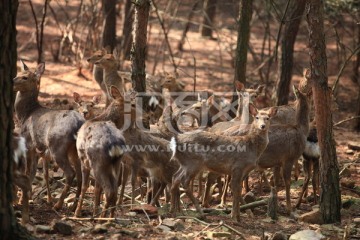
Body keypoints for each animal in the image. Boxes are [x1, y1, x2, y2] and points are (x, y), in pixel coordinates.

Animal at [13, 60, 84, 212]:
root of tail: (78, 124)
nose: (12, 81)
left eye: (25, 77)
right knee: (80, 174)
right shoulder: (38, 151)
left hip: (57, 146)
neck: (25, 115)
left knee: (71, 173)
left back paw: (59, 204)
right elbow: (34, 172)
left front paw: (23, 200)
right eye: (18, 73)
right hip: (74, 150)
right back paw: (74, 206)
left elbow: (28, 172)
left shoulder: (28, 145)